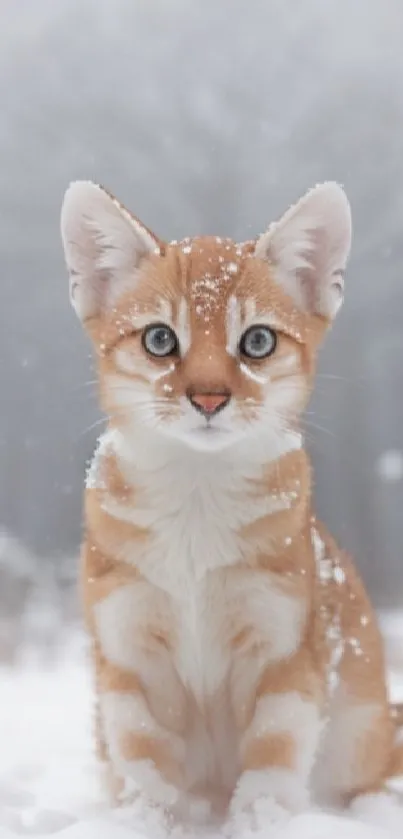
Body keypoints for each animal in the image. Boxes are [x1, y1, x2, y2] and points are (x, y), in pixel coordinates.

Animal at [60, 180, 403, 824]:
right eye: (160, 339)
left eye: (258, 341)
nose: (209, 398)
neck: (195, 515)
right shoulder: (129, 655)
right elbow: (144, 766)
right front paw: (148, 823)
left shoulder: (283, 650)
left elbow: (272, 760)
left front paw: (261, 821)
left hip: (362, 730)